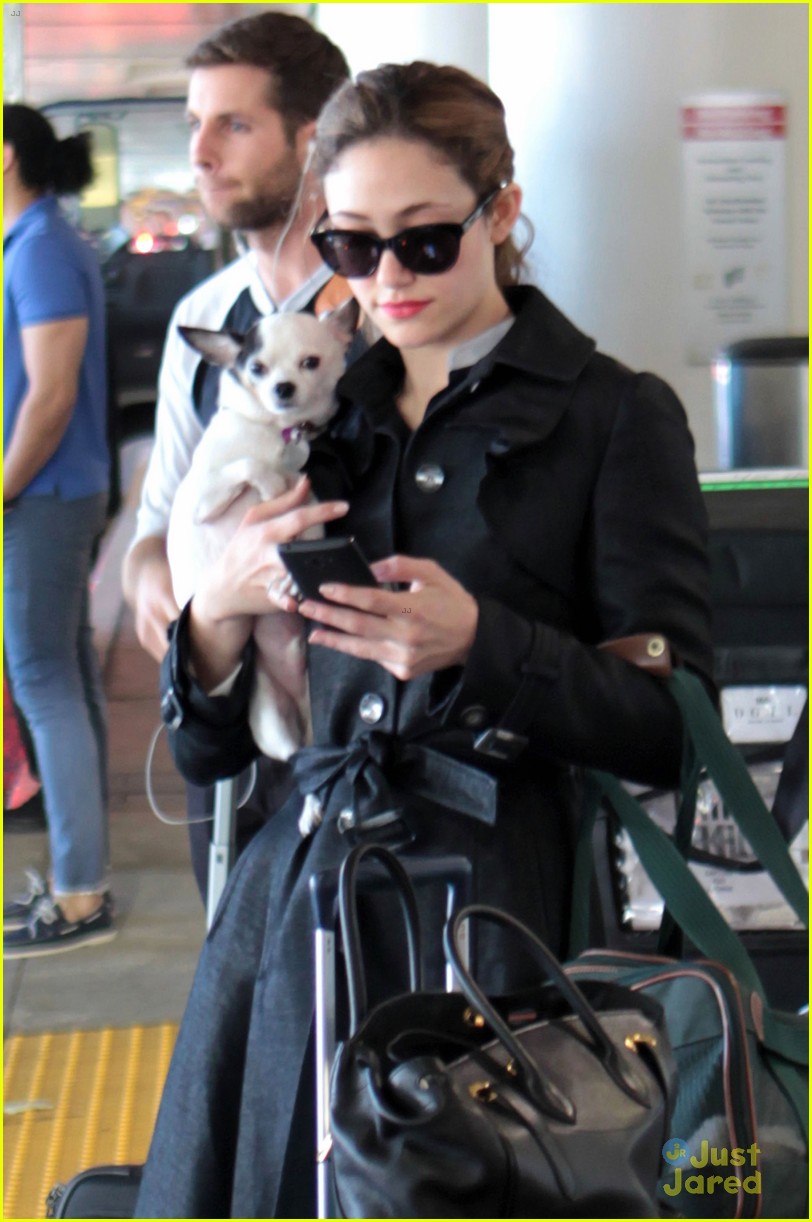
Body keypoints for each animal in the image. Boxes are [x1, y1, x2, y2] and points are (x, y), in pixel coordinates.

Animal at [166, 303, 357, 762]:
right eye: (256, 368)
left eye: (310, 362)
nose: (282, 388)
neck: (276, 431)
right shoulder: (204, 500)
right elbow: (250, 467)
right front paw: (271, 485)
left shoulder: (308, 500)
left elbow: (310, 520)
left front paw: (293, 573)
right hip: (271, 724)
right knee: (294, 757)